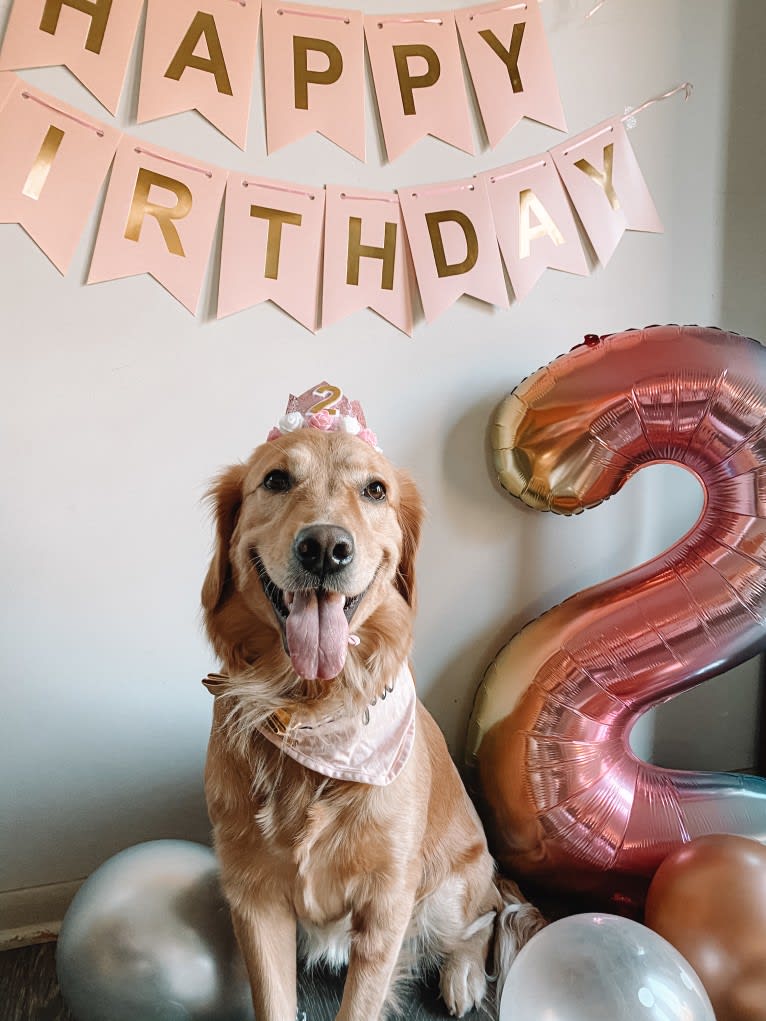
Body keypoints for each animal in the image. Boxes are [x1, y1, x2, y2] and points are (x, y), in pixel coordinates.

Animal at [201, 410, 543, 1016]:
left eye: (375, 490)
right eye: (276, 480)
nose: (324, 547)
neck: (311, 706)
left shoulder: (388, 903)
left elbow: (364, 1000)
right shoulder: (253, 896)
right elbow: (273, 1000)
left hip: (446, 890)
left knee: (485, 919)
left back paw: (463, 978)